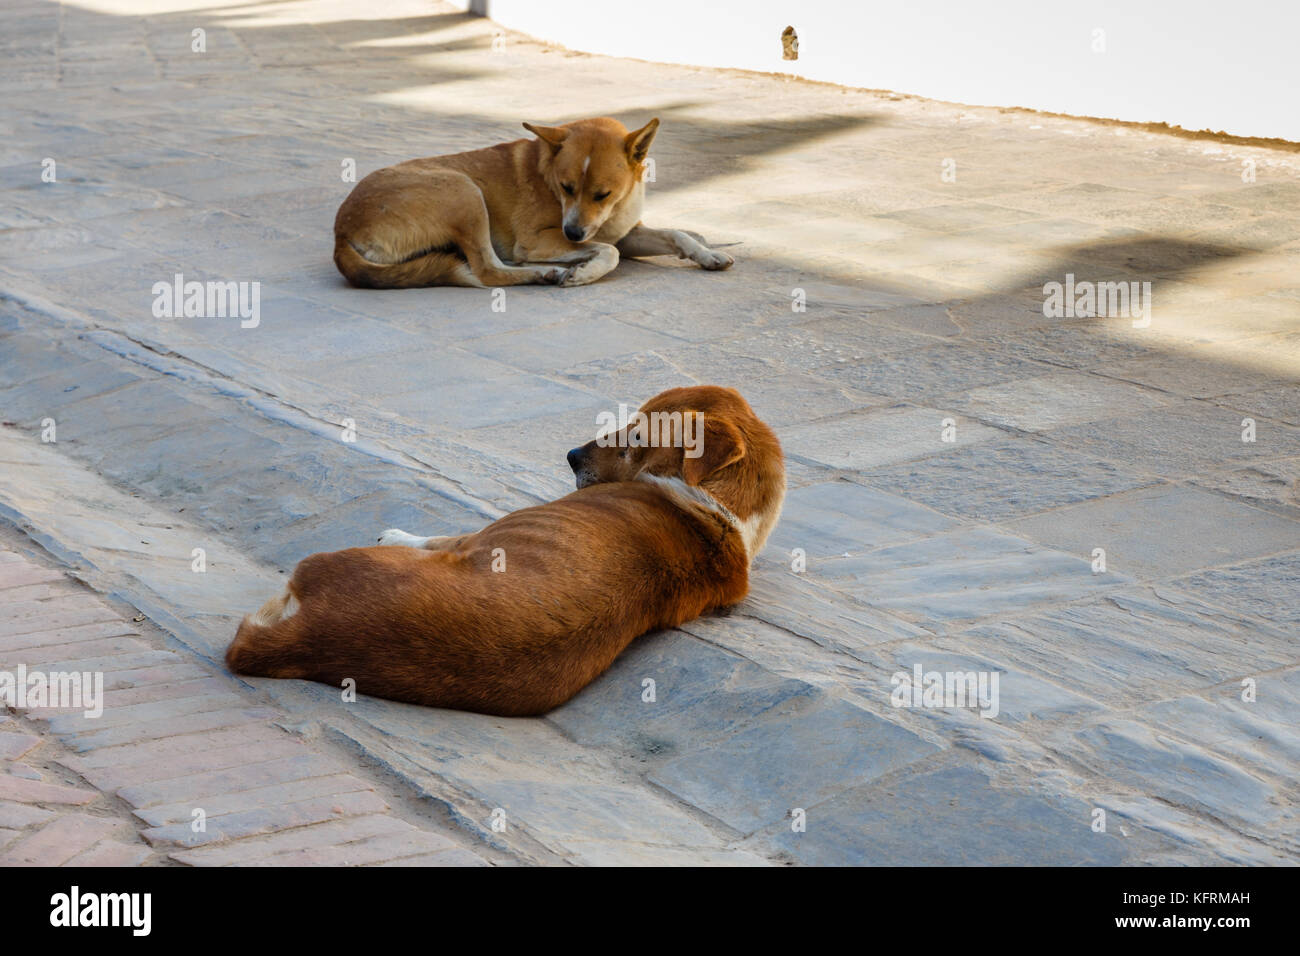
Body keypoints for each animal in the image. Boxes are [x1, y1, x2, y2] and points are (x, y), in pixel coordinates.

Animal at [226, 385, 780, 712]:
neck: (718, 512)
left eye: (638, 437)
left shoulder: (475, 538)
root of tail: (308, 639)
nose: (570, 455)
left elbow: (439, 535)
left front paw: (398, 533)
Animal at [330, 117, 738, 287]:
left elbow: (676, 234)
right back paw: (544, 273)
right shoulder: (539, 240)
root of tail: (341, 232)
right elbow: (609, 251)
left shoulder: (627, 232)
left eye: (601, 194)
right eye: (566, 187)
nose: (572, 234)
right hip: (464, 191)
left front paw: (708, 253)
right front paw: (585, 272)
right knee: (487, 270)